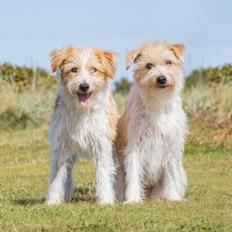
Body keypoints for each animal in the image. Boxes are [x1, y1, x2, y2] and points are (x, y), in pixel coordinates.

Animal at [115, 41, 188, 203]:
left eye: (168, 62)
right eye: (148, 66)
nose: (161, 78)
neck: (158, 101)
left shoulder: (171, 145)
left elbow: (171, 174)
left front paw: (173, 197)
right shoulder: (134, 145)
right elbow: (134, 174)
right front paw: (133, 199)